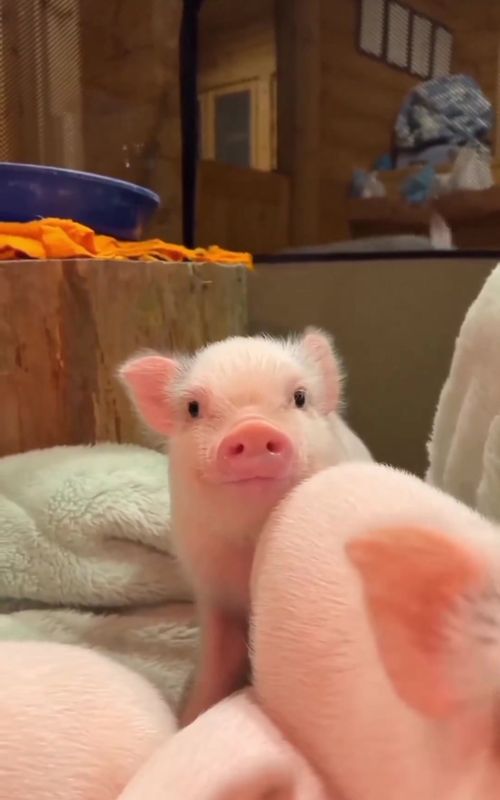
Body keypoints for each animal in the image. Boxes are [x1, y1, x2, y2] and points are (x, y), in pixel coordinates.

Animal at [119, 329, 371, 727]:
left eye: (300, 397)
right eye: (193, 408)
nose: (252, 429)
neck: (253, 536)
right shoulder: (212, 592)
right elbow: (217, 664)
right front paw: (188, 720)